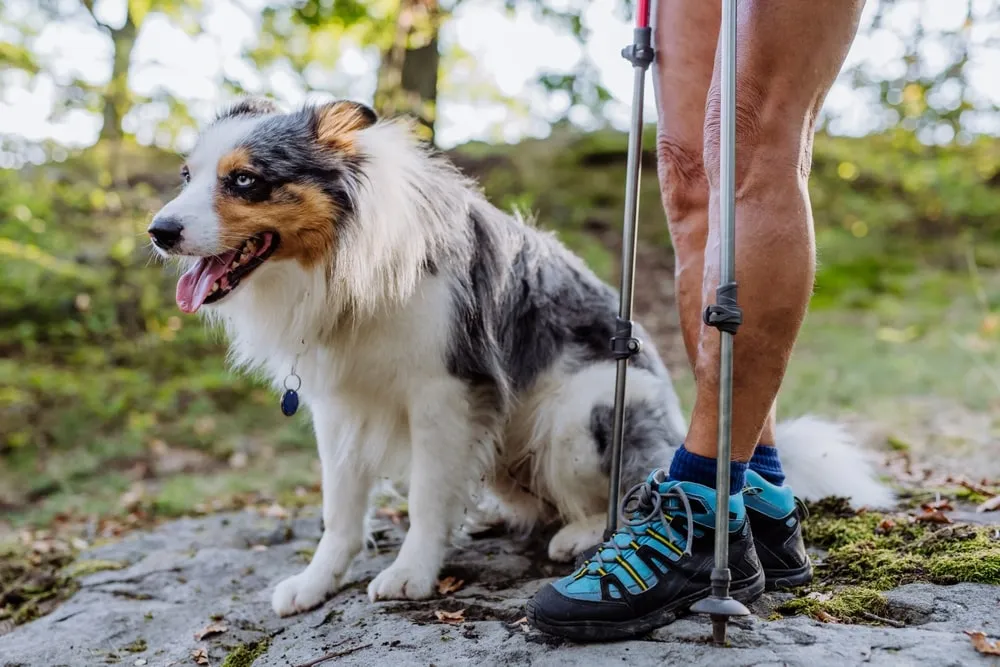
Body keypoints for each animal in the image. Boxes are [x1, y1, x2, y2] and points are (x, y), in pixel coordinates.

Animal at [146, 96, 892, 620]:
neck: (344, 257)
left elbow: (424, 495)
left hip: (582, 411)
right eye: (186, 175)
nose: (159, 230)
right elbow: (342, 509)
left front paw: (412, 573)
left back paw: (582, 536)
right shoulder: (339, 403)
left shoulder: (447, 389)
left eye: (244, 181)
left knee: (625, 490)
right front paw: (315, 581)